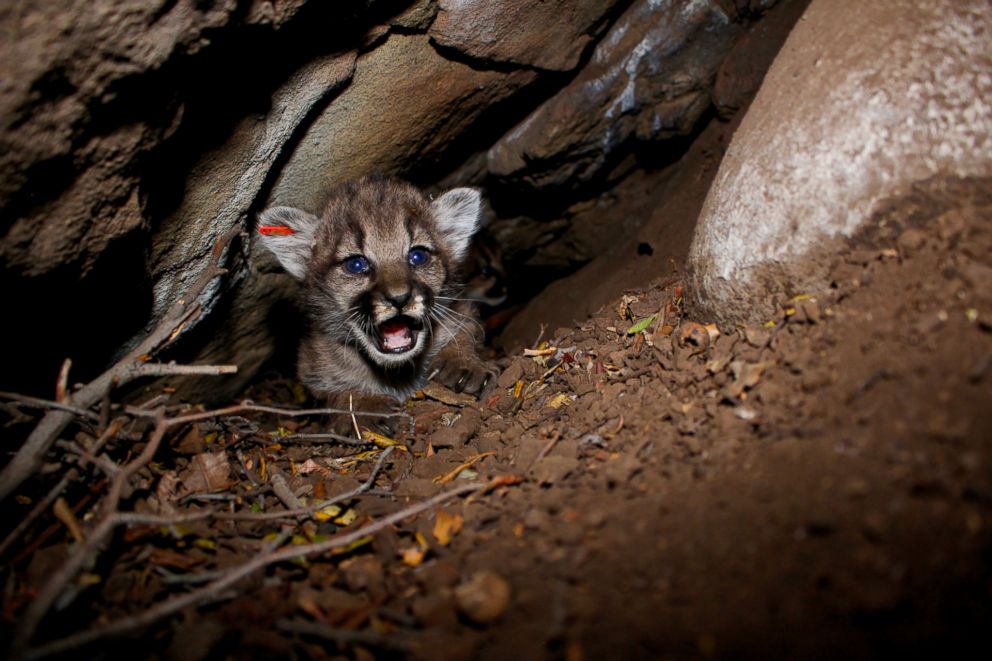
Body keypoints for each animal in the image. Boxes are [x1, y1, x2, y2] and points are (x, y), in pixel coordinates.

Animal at [256, 178, 496, 430]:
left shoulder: (461, 311)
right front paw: (365, 407)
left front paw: (463, 364)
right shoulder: (312, 366)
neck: (398, 372)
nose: (400, 298)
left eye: (418, 255)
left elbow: (464, 330)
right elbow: (335, 391)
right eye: (356, 264)